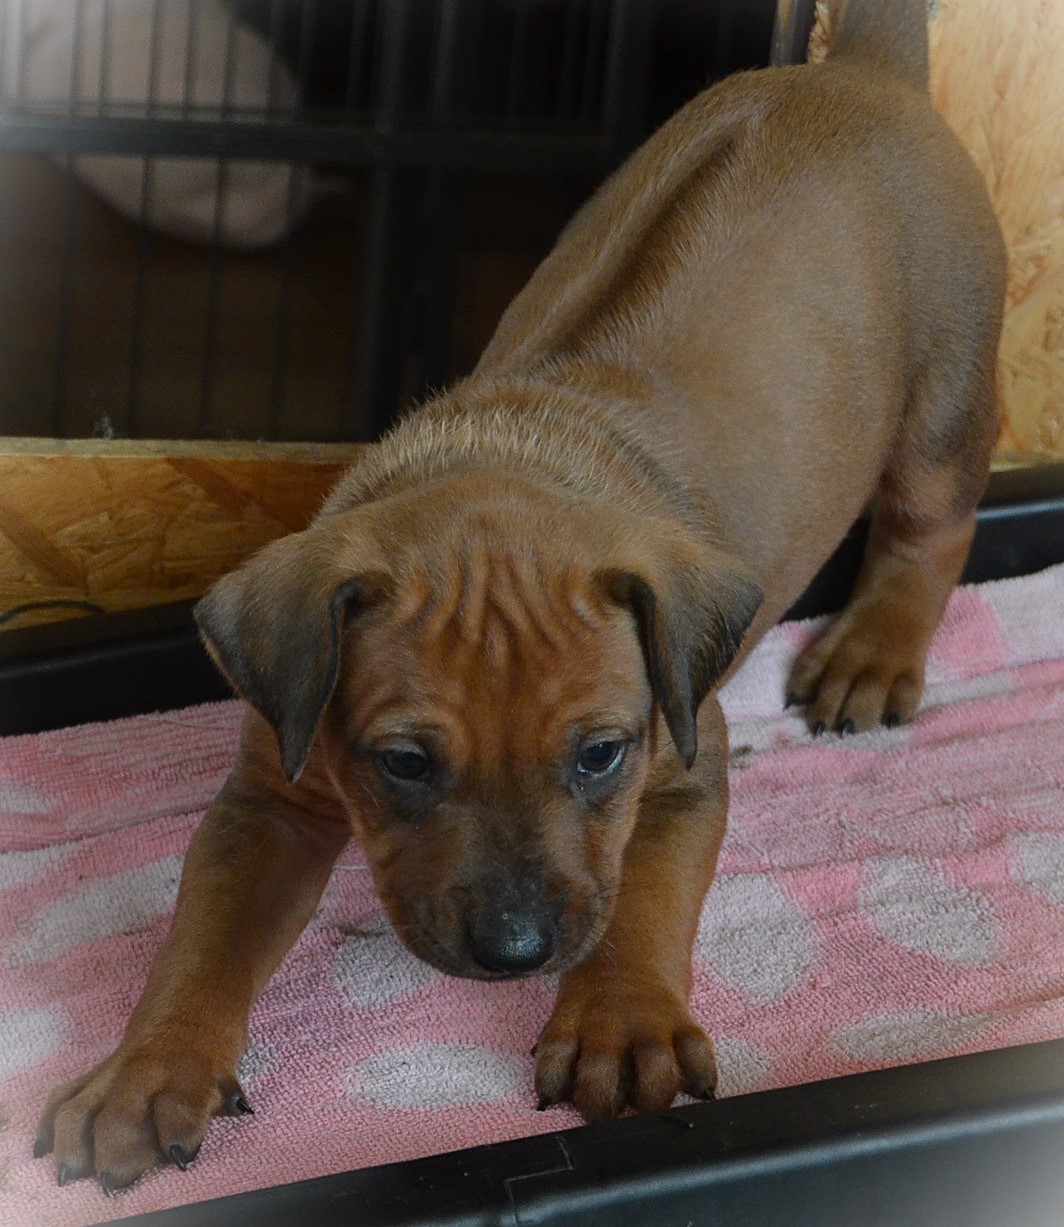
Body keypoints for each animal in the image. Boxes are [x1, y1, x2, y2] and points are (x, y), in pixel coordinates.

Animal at [37, 0, 1005, 1191]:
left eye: (600, 755)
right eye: (404, 763)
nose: (514, 954)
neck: (512, 447)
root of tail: (862, 71)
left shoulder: (680, 762)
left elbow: (640, 897)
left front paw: (619, 1027)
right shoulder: (272, 790)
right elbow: (201, 942)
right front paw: (144, 1075)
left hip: (946, 386)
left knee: (933, 525)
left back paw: (873, 653)